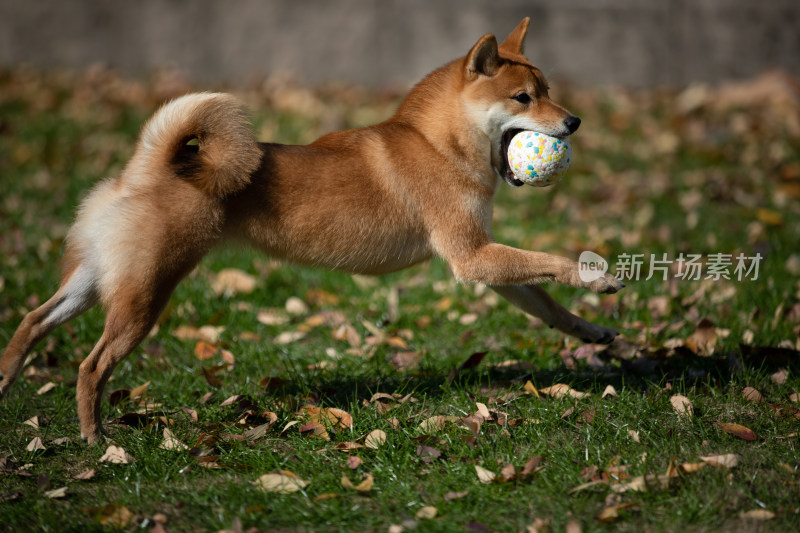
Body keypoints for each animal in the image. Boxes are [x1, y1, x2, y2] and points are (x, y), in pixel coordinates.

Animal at [0, 17, 620, 440]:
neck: (438, 143)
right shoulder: (472, 257)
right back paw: (96, 437)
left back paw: (6, 380)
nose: (573, 122)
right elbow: (552, 263)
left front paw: (591, 331)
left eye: (547, 90)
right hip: (144, 295)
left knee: (33, 321)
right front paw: (598, 275)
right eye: (523, 98)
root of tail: (148, 164)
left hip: (99, 281)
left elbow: (547, 303)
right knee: (91, 365)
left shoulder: (486, 262)